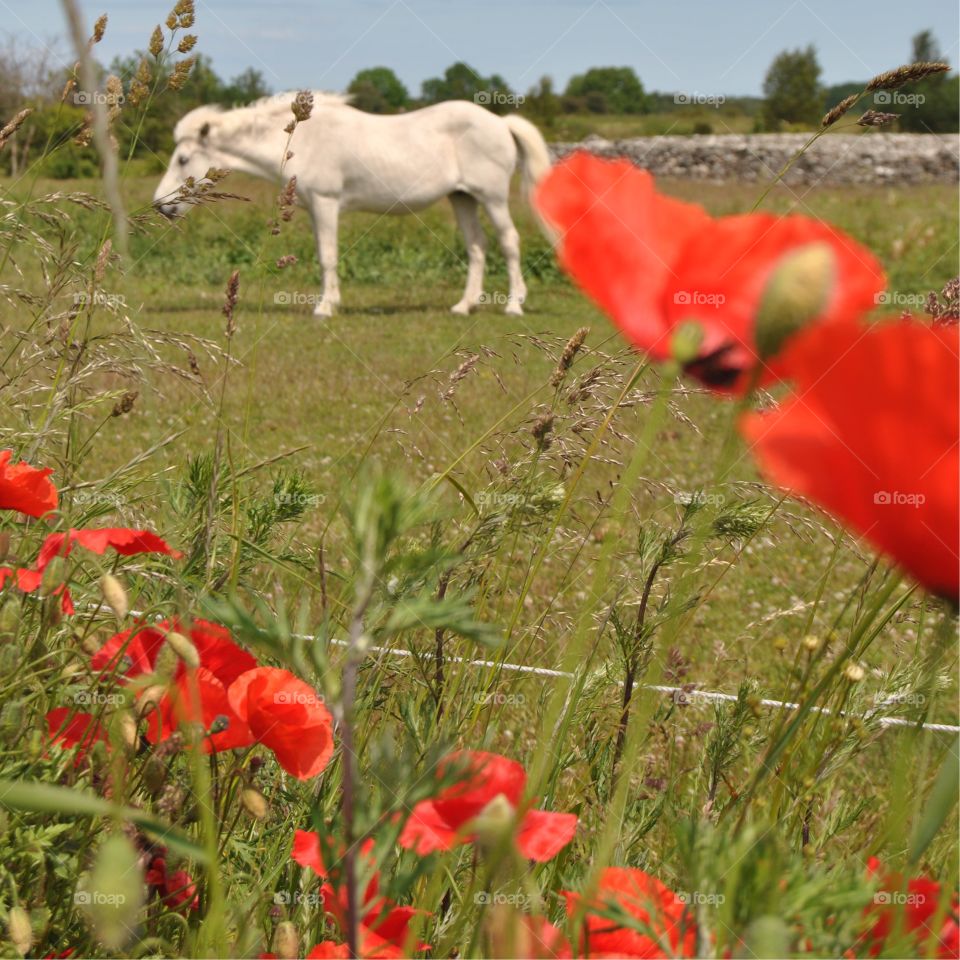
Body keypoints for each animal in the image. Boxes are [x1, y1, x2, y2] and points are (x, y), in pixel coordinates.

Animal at [154, 92, 552, 316]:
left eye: (184, 159)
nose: (161, 205)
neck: (304, 137)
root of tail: (500, 121)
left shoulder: (326, 203)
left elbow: (327, 256)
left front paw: (325, 308)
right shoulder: (316, 209)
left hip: (492, 198)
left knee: (509, 243)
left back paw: (513, 305)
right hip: (463, 198)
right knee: (477, 247)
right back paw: (464, 306)